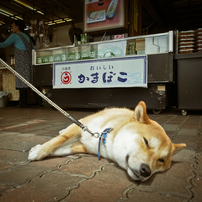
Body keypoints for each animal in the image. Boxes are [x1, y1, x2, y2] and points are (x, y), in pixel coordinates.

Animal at [28, 101, 186, 181]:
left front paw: (40, 151)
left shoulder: (85, 146)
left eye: (161, 160)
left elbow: (62, 150)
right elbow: (58, 140)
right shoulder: (81, 127)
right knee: (65, 130)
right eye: (146, 141)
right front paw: (40, 150)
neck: (103, 138)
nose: (146, 171)